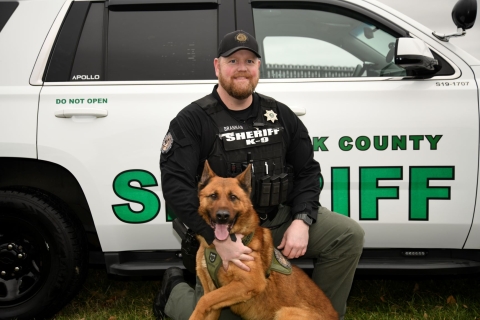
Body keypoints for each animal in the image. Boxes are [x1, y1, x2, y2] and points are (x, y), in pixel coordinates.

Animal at [188, 162, 338, 320]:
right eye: (213, 196)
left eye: (233, 197)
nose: (222, 216)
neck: (217, 248)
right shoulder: (214, 300)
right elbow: (206, 301)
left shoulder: (251, 282)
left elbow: (203, 300)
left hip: (284, 312)